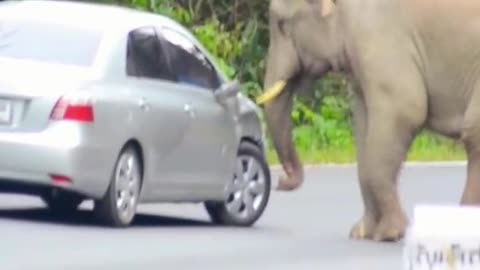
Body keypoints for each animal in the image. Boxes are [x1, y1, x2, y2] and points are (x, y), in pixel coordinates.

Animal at [258, 0, 480, 242]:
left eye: (281, 24)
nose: (281, 182)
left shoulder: (380, 37)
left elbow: (406, 109)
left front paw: (388, 234)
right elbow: (364, 129)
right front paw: (362, 233)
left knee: (473, 133)